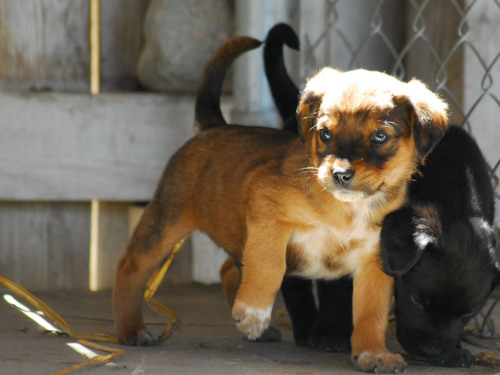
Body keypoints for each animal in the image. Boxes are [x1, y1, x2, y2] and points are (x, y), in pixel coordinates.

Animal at [114, 34, 450, 374]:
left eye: (380, 137)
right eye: (324, 133)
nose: (339, 174)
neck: (348, 209)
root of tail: (212, 127)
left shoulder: (374, 259)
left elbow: (372, 311)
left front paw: (373, 352)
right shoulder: (267, 209)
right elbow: (269, 262)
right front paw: (253, 311)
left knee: (227, 268)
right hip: (165, 224)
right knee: (130, 268)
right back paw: (133, 330)